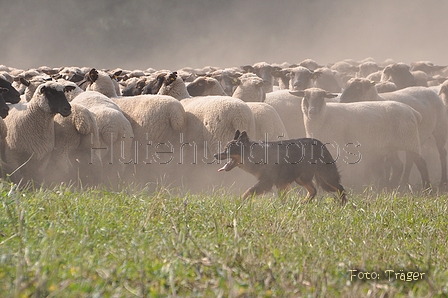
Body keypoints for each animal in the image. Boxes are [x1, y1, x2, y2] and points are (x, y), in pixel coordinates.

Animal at [214, 130, 346, 205]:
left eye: (228, 150)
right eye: (224, 148)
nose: (215, 155)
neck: (256, 154)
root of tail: (321, 144)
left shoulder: (266, 182)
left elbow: (248, 191)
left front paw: (239, 202)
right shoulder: (281, 183)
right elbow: (282, 198)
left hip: (326, 176)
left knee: (340, 188)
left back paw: (342, 204)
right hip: (301, 178)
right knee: (313, 190)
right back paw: (304, 202)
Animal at [290, 87, 430, 190]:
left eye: (321, 97)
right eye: (306, 97)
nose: (312, 112)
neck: (325, 116)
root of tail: (413, 111)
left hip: (410, 140)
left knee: (421, 163)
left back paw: (426, 188)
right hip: (391, 146)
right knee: (398, 166)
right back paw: (390, 186)